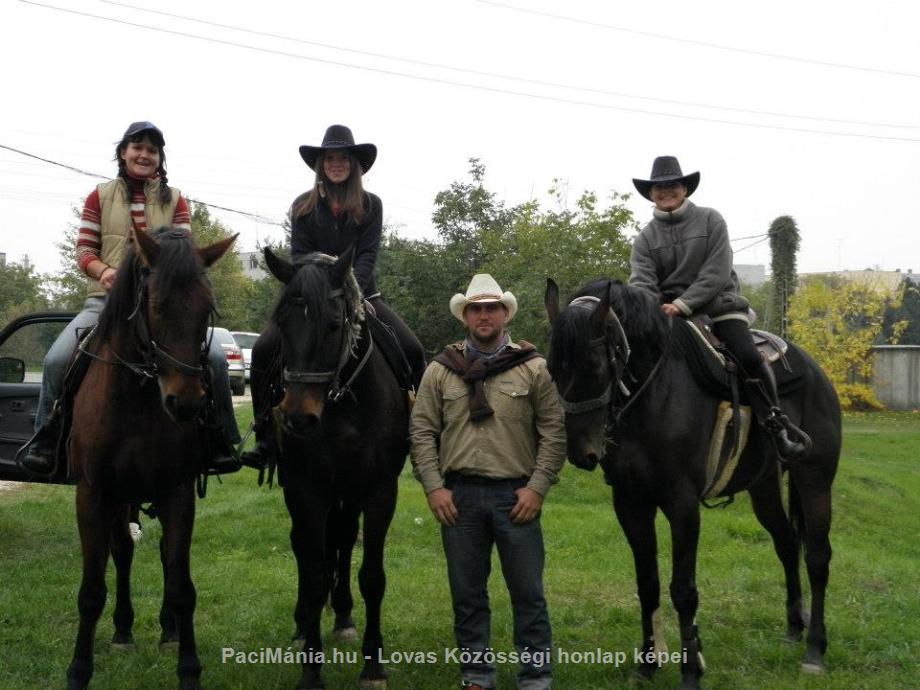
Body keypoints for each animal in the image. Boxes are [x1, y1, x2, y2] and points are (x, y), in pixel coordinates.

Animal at [65, 227, 235, 688]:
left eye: (207, 309)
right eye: (155, 304)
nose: (186, 403)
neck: (138, 401)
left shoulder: (177, 492)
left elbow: (181, 587)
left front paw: (189, 669)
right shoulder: (93, 494)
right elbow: (91, 591)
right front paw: (78, 671)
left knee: (156, 554)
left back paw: (167, 632)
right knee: (122, 550)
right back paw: (123, 630)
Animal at [264, 247, 412, 688]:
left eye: (333, 324)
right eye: (282, 322)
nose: (298, 418)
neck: (343, 404)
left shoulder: (380, 490)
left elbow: (372, 576)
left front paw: (373, 665)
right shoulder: (305, 490)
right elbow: (314, 575)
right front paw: (311, 670)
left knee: (344, 542)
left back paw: (344, 616)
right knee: (306, 546)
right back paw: (302, 625)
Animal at [548, 278, 840, 688]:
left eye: (593, 365)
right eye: (551, 367)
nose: (581, 452)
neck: (655, 397)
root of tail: (816, 373)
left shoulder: (682, 506)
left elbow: (683, 590)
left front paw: (691, 669)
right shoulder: (631, 503)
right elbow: (648, 584)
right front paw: (648, 664)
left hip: (814, 479)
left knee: (816, 556)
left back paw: (815, 648)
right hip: (764, 486)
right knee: (786, 544)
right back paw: (794, 627)